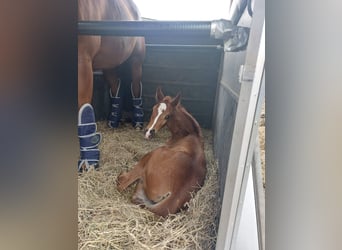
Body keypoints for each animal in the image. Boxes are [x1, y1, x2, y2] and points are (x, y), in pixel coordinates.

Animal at [78, 0, 145, 172]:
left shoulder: (83, 61)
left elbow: (83, 109)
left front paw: (89, 161)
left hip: (136, 61)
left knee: (136, 88)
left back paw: (138, 123)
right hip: (110, 64)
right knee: (116, 88)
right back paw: (113, 121)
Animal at [116, 88, 207, 217]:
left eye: (167, 116)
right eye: (153, 109)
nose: (149, 132)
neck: (189, 134)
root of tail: (174, 195)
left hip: (155, 153)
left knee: (123, 183)